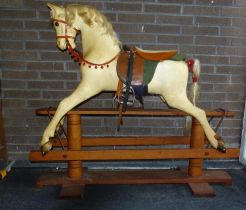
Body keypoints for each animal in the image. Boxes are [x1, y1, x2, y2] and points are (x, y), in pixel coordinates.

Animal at [40, 2, 227, 154]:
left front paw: (45, 140)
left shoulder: (88, 87)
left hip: (175, 98)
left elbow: (64, 103)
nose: (61, 45)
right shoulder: (86, 88)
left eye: (56, 23)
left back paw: (218, 142)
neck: (103, 54)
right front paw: (55, 134)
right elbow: (66, 107)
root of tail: (186, 62)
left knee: (200, 113)